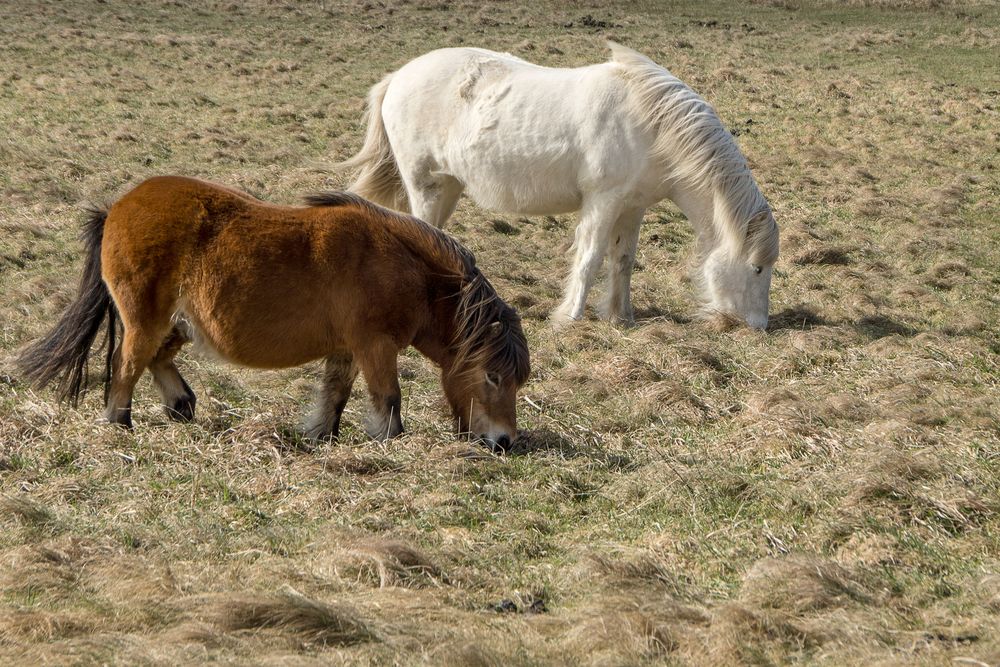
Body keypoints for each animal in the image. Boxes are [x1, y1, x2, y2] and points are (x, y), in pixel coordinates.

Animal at [17, 176, 532, 448]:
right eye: (492, 376)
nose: (504, 442)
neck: (398, 263)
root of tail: (118, 207)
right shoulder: (375, 346)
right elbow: (388, 399)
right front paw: (389, 442)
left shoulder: (348, 350)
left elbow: (335, 396)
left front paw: (321, 436)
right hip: (145, 320)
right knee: (127, 365)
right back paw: (120, 424)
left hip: (180, 324)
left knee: (157, 359)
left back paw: (181, 404)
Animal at [340, 41, 776, 328]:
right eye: (757, 268)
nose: (758, 326)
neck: (652, 125)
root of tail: (398, 78)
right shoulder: (603, 201)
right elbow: (590, 258)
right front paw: (570, 318)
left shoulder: (632, 206)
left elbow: (623, 260)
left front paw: (622, 317)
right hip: (425, 185)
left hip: (446, 187)